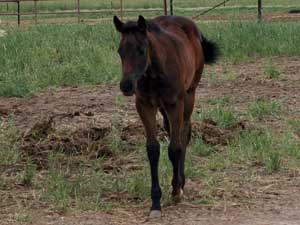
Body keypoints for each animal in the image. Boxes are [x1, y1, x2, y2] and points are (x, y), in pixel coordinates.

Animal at [113, 14, 219, 217]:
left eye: (141, 50)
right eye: (120, 51)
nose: (126, 86)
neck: (154, 71)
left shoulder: (175, 104)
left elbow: (175, 148)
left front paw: (176, 190)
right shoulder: (145, 105)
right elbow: (153, 149)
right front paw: (155, 202)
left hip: (189, 95)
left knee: (184, 134)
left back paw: (181, 182)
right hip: (163, 107)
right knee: (173, 131)